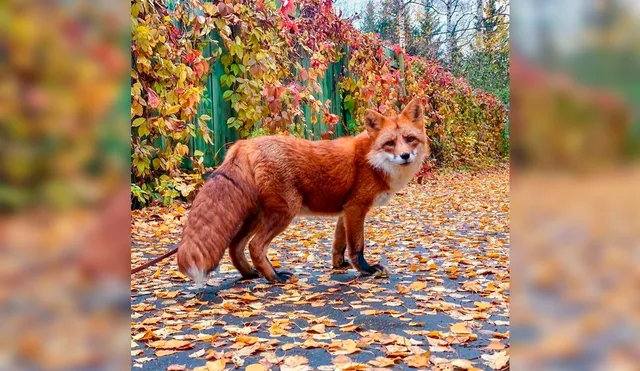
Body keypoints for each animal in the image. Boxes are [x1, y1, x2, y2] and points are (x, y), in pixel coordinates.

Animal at [176, 97, 430, 286]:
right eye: (390, 143)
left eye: (410, 139)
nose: (405, 156)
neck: (372, 159)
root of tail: (243, 145)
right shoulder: (357, 208)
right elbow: (357, 247)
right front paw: (367, 270)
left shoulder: (345, 210)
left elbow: (339, 245)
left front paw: (339, 265)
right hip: (284, 212)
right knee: (255, 247)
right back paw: (275, 277)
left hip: (256, 216)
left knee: (235, 247)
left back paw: (250, 274)